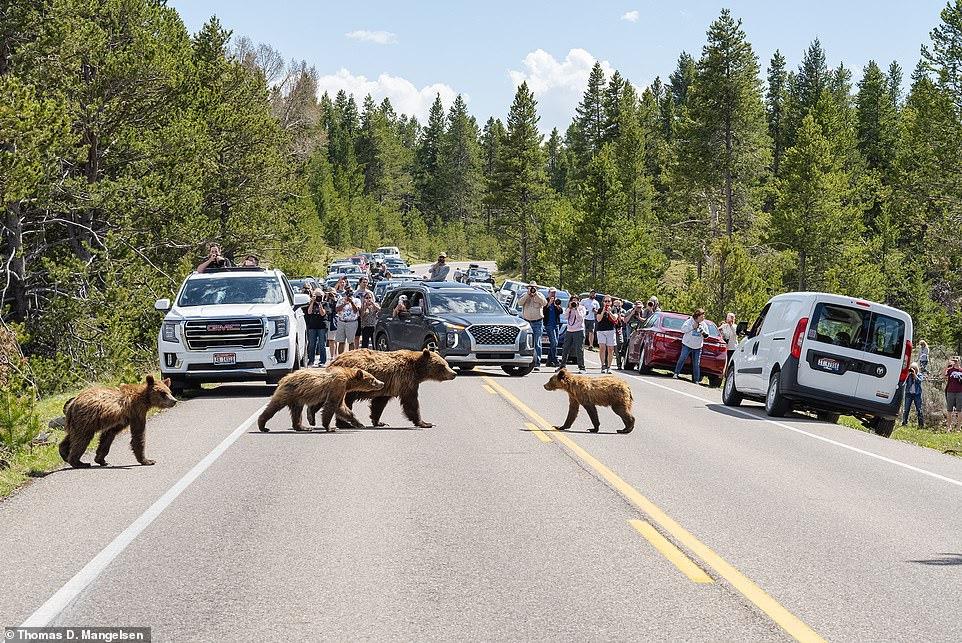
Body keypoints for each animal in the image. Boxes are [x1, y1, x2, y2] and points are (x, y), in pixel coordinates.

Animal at [260, 368, 388, 432]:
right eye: (372, 379)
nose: (382, 383)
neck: (348, 380)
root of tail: (283, 379)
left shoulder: (342, 390)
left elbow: (342, 407)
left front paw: (360, 424)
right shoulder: (338, 386)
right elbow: (332, 405)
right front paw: (331, 427)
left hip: (297, 398)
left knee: (296, 412)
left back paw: (303, 427)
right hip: (289, 392)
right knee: (274, 406)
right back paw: (263, 425)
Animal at [310, 350, 456, 430]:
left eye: (447, 363)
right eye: (442, 365)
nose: (454, 373)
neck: (417, 370)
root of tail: (333, 361)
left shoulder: (389, 386)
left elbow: (378, 404)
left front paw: (380, 422)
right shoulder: (406, 381)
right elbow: (411, 402)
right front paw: (425, 423)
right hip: (349, 384)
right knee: (343, 402)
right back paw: (345, 424)